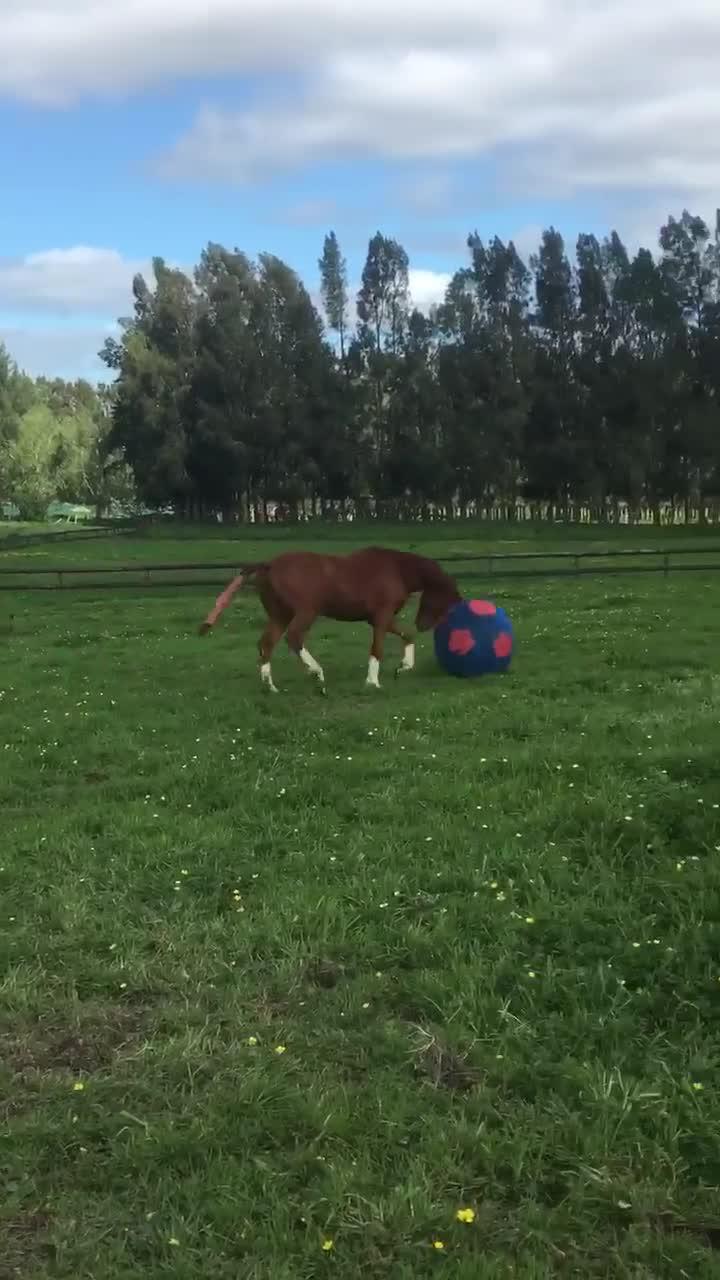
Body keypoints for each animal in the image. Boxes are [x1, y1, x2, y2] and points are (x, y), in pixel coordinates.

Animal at [199, 546, 462, 693]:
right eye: (443, 598)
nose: (424, 624)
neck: (396, 569)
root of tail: (269, 565)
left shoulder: (378, 619)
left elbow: (407, 634)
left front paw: (403, 667)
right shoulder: (381, 617)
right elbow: (377, 649)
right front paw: (373, 682)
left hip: (280, 615)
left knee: (266, 643)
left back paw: (271, 687)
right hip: (305, 612)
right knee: (294, 638)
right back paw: (316, 673)